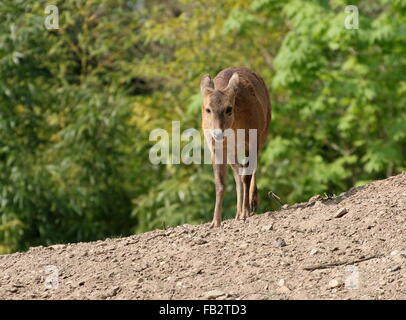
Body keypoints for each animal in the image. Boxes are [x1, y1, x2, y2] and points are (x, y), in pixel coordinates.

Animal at [201, 66, 272, 228]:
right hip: (231, 151)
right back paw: (238, 212)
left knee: (249, 170)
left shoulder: (252, 139)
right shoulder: (215, 148)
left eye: (229, 109)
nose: (217, 133)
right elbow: (220, 183)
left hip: (264, 130)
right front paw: (215, 222)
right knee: (237, 171)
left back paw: (251, 204)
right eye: (208, 109)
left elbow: (246, 175)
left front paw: (246, 212)